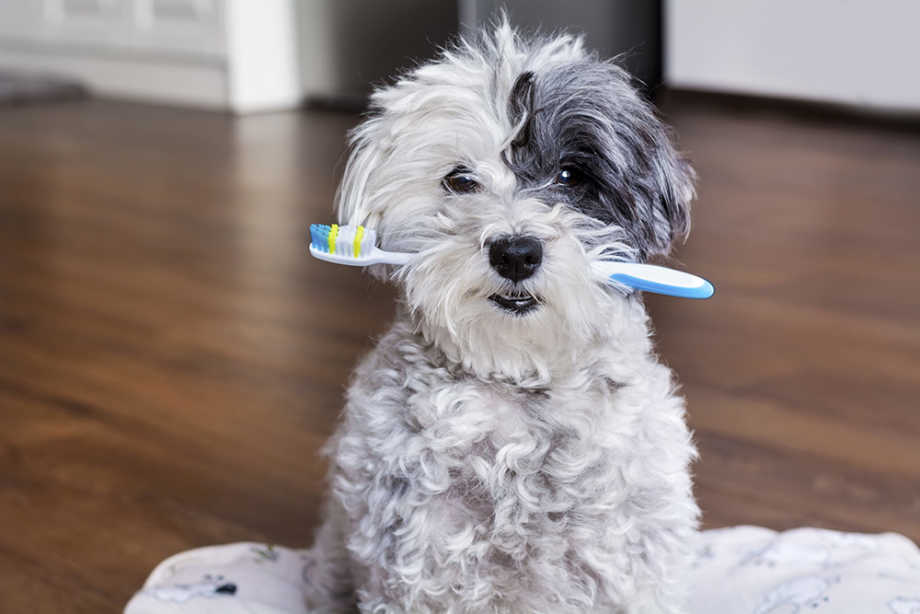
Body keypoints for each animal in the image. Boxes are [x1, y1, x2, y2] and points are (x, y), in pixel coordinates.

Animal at [302, 20, 696, 614]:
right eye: (460, 180)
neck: (518, 378)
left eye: (569, 175)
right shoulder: (419, 556)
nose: (515, 252)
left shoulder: (628, 561)